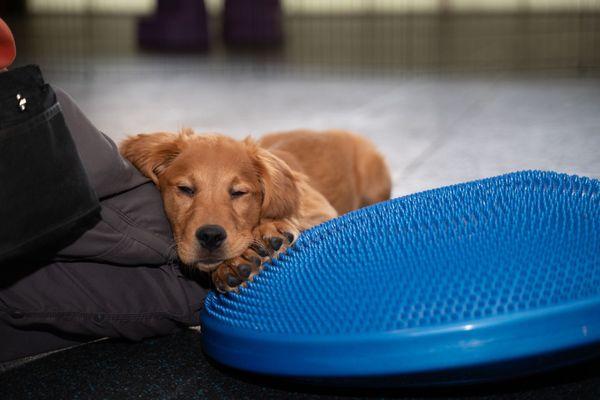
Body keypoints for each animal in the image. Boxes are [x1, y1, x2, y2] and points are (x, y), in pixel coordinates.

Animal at [119, 130, 392, 292]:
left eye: (239, 192)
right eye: (185, 189)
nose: (210, 236)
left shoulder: (322, 212)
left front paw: (266, 233)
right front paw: (234, 264)